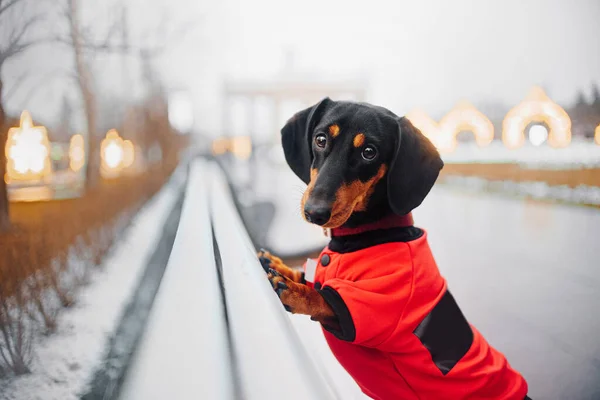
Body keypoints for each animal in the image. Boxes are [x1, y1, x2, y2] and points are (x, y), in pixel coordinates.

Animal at [258, 97, 528, 400]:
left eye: (369, 152)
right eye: (320, 139)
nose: (315, 212)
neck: (362, 236)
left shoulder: (372, 307)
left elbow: (324, 297)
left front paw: (294, 291)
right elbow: (311, 278)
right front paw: (279, 266)